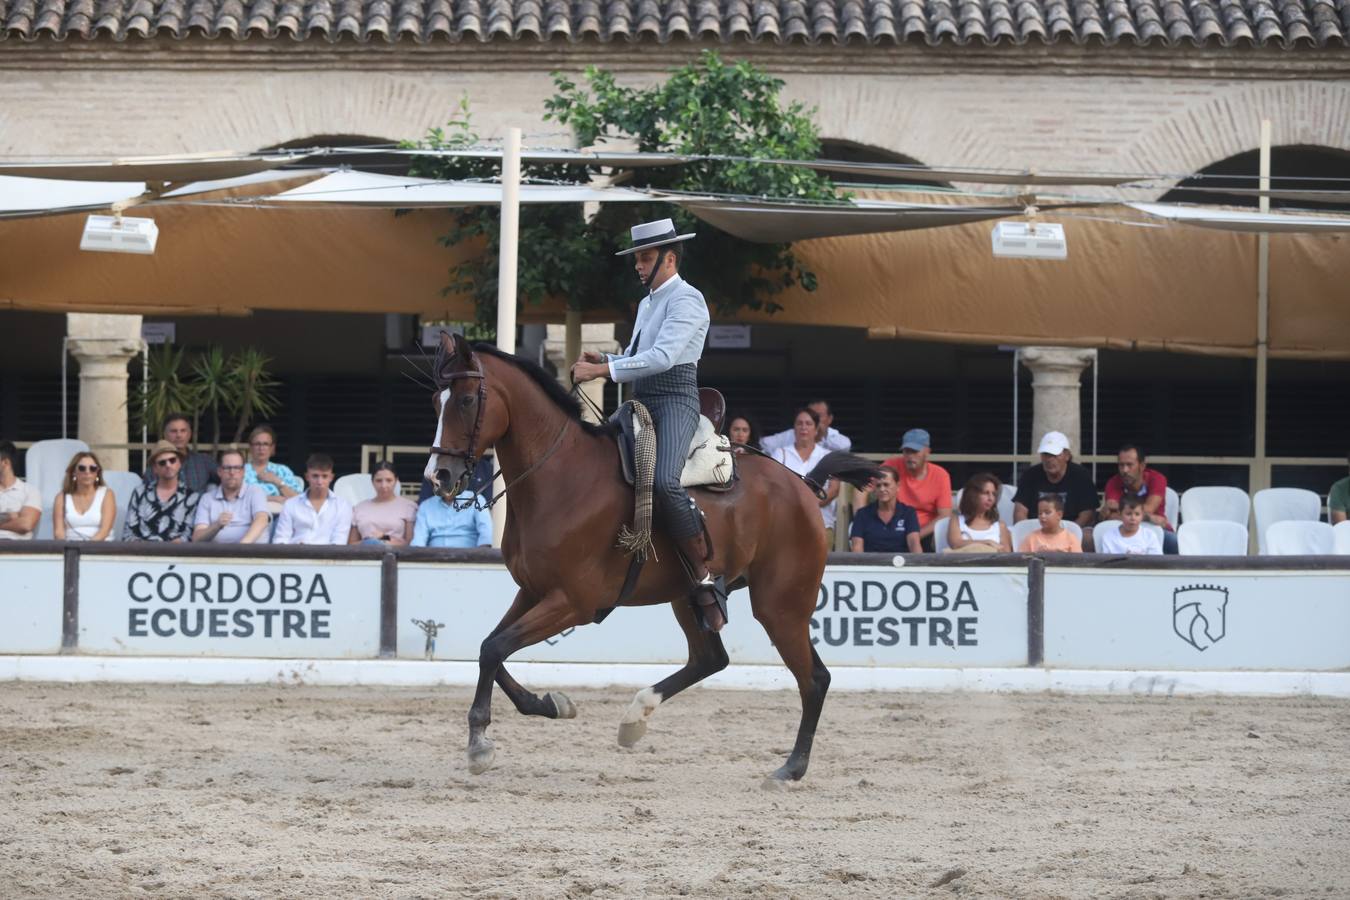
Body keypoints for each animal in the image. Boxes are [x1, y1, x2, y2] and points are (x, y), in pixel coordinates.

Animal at [426, 330, 880, 782]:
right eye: (436, 400)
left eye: (466, 400)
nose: (439, 476)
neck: (560, 477)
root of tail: (802, 484)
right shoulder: (533, 592)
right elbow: (491, 647)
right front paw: (549, 704)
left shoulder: (571, 603)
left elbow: (495, 649)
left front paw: (479, 742)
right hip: (693, 596)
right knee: (711, 659)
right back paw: (635, 717)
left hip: (781, 606)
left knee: (814, 678)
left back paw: (792, 766)